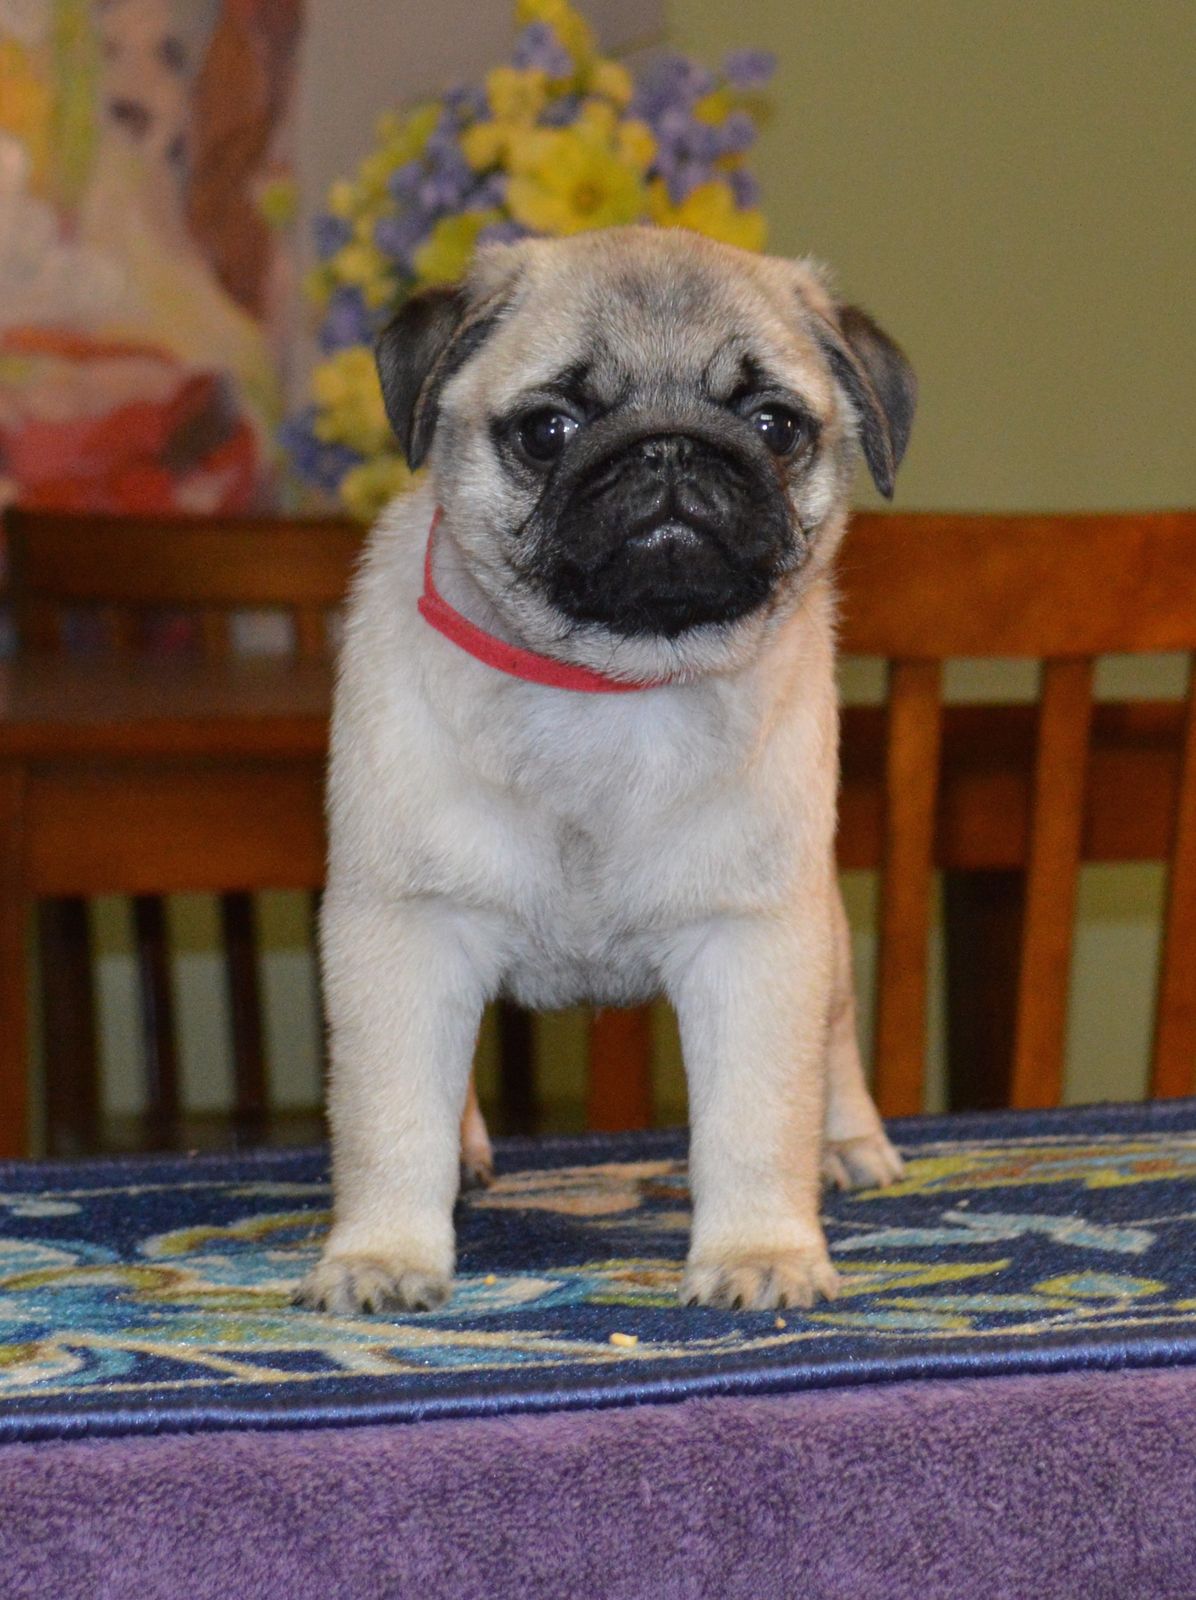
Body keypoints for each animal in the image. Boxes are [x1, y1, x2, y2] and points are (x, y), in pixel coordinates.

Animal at [296, 225, 914, 1316]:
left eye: (773, 424)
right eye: (549, 430)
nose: (667, 447)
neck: (610, 685)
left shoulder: (753, 940)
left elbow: (757, 1120)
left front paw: (761, 1250)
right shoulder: (405, 929)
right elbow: (392, 1119)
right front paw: (382, 1254)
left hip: (820, 934)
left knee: (831, 1043)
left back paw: (847, 1143)